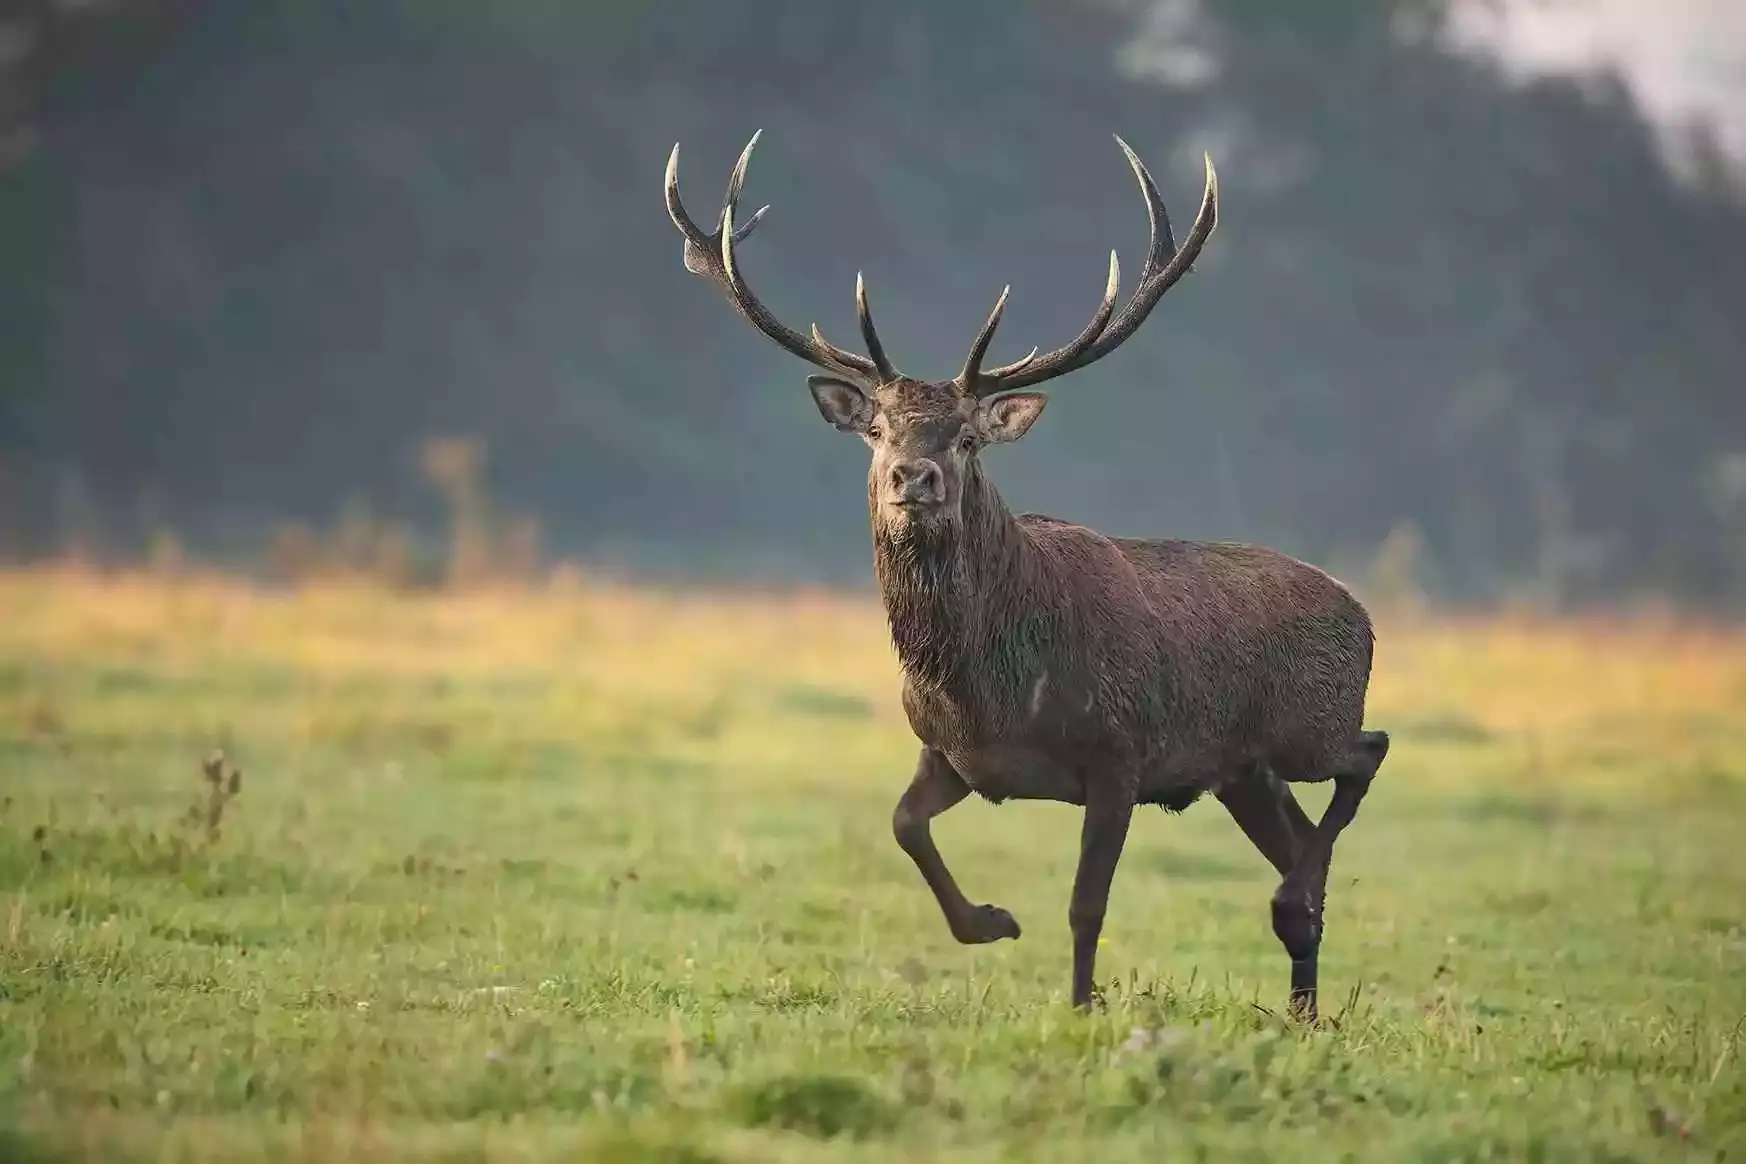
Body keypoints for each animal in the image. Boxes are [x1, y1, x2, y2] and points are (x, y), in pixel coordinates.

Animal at [662, 130, 1390, 1020]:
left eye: (968, 438)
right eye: (878, 429)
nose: (914, 477)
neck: (993, 688)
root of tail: (1361, 613)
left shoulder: (1121, 754)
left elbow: (1086, 904)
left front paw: (1080, 1007)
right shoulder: (952, 754)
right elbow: (904, 826)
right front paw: (992, 921)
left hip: (1306, 726)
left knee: (1367, 754)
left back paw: (1296, 924)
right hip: (1243, 771)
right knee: (1301, 848)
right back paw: (1304, 1006)